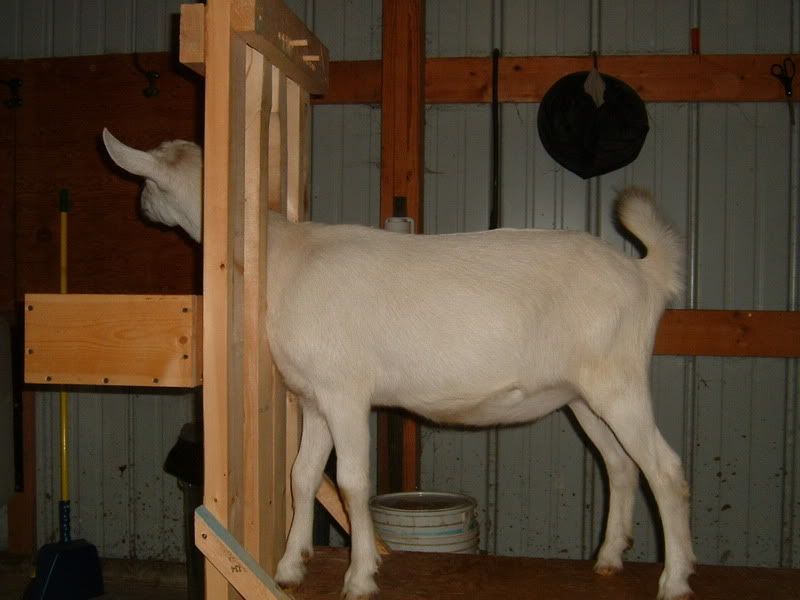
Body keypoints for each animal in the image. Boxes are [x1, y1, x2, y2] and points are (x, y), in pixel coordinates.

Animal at [103, 128, 695, 600]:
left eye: (149, 183)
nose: (141, 209)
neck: (284, 259)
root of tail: (646, 275)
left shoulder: (346, 392)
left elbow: (352, 481)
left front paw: (361, 577)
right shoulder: (314, 397)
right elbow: (301, 476)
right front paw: (291, 567)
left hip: (619, 381)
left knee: (665, 469)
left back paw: (674, 580)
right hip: (583, 394)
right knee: (620, 464)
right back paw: (609, 559)